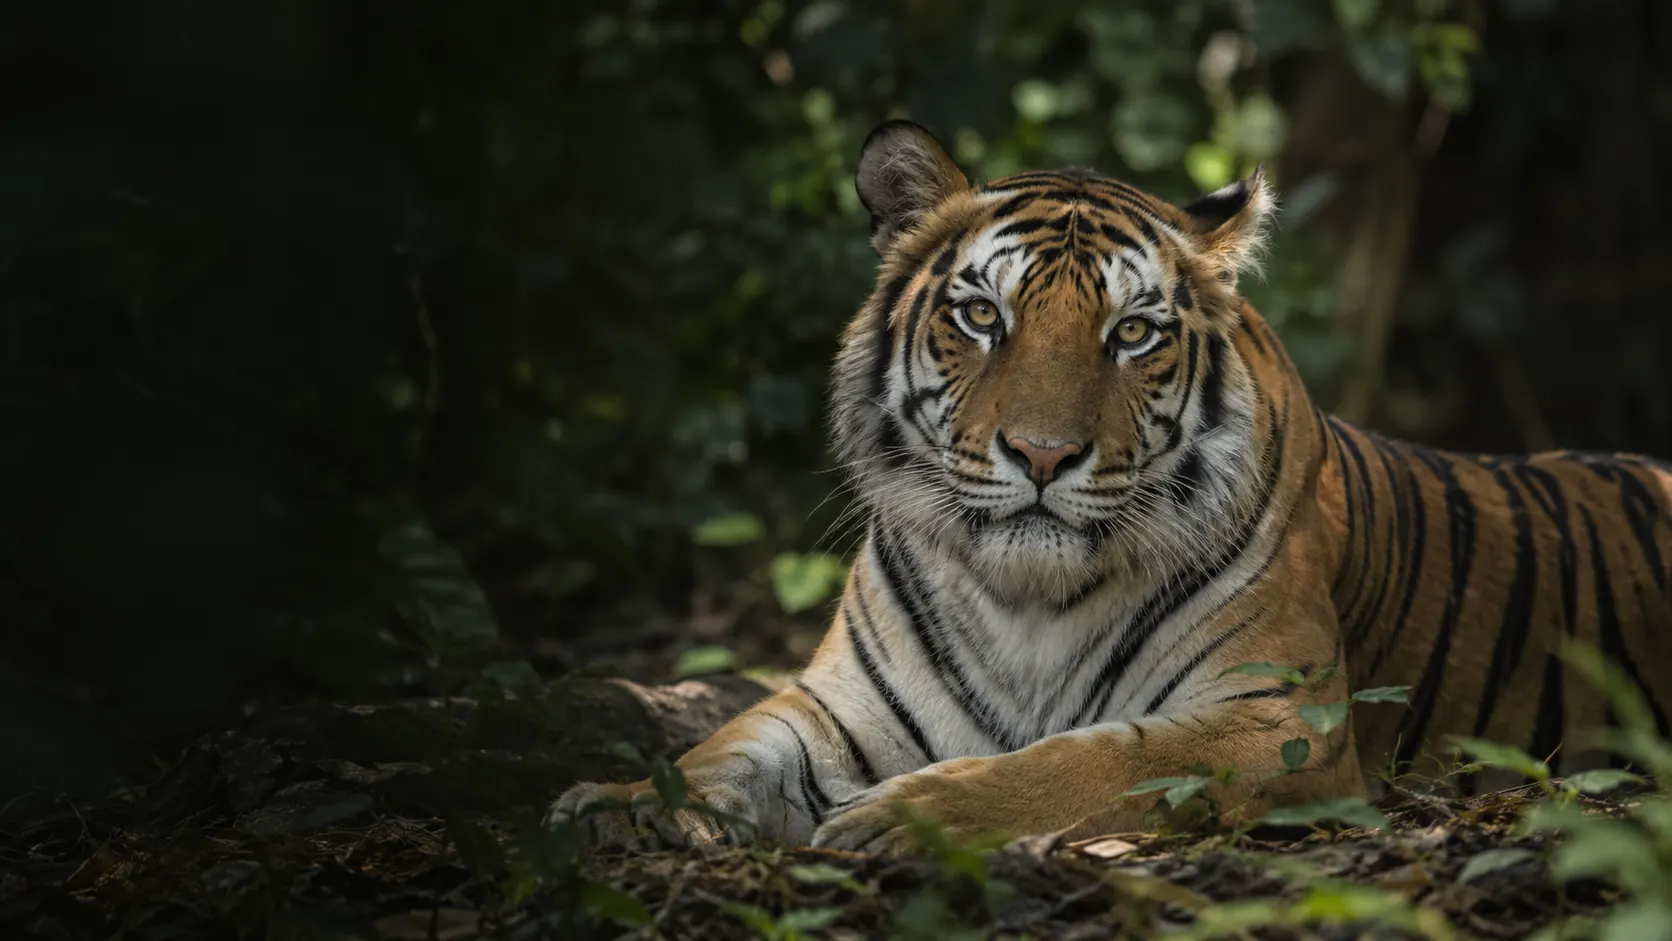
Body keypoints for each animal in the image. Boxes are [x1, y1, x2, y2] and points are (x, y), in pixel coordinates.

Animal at [550, 120, 1672, 854]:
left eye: (1131, 332)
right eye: (982, 316)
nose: (1043, 455)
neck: (1025, 601)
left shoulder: (1278, 720)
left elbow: (1078, 762)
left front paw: (900, 819)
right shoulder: (836, 702)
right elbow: (723, 748)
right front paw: (616, 799)